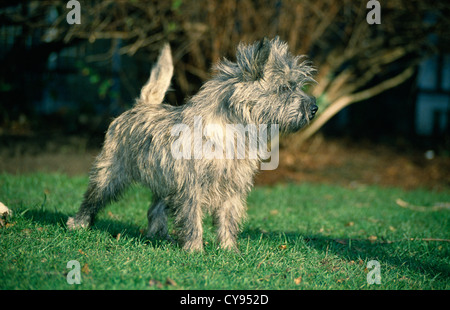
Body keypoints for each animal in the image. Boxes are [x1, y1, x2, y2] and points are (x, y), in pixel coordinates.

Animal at [68, 37, 318, 252]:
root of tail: (141, 105)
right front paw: (195, 250)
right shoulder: (191, 186)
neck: (234, 132)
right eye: (284, 88)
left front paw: (229, 250)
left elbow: (228, 218)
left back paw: (160, 236)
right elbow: (192, 218)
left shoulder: (232, 188)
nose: (314, 108)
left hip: (164, 183)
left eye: (297, 86)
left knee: (155, 208)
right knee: (93, 198)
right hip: (111, 172)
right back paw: (78, 224)